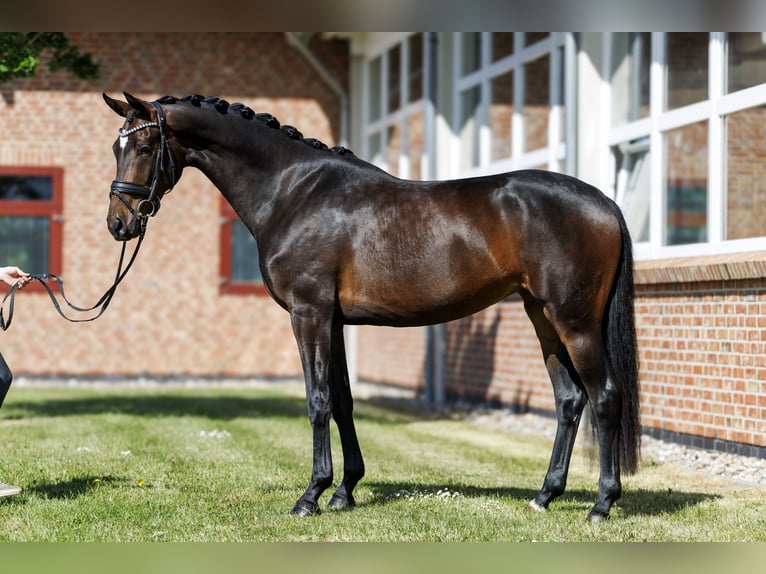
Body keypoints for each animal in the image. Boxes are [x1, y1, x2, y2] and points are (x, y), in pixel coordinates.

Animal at [102, 92, 640, 522]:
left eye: (145, 148)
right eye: (116, 147)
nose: (119, 223)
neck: (294, 191)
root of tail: (604, 202)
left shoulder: (309, 314)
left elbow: (318, 400)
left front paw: (311, 496)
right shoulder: (334, 321)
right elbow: (342, 401)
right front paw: (344, 491)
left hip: (575, 322)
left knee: (605, 396)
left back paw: (602, 504)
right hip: (541, 316)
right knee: (569, 400)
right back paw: (545, 496)